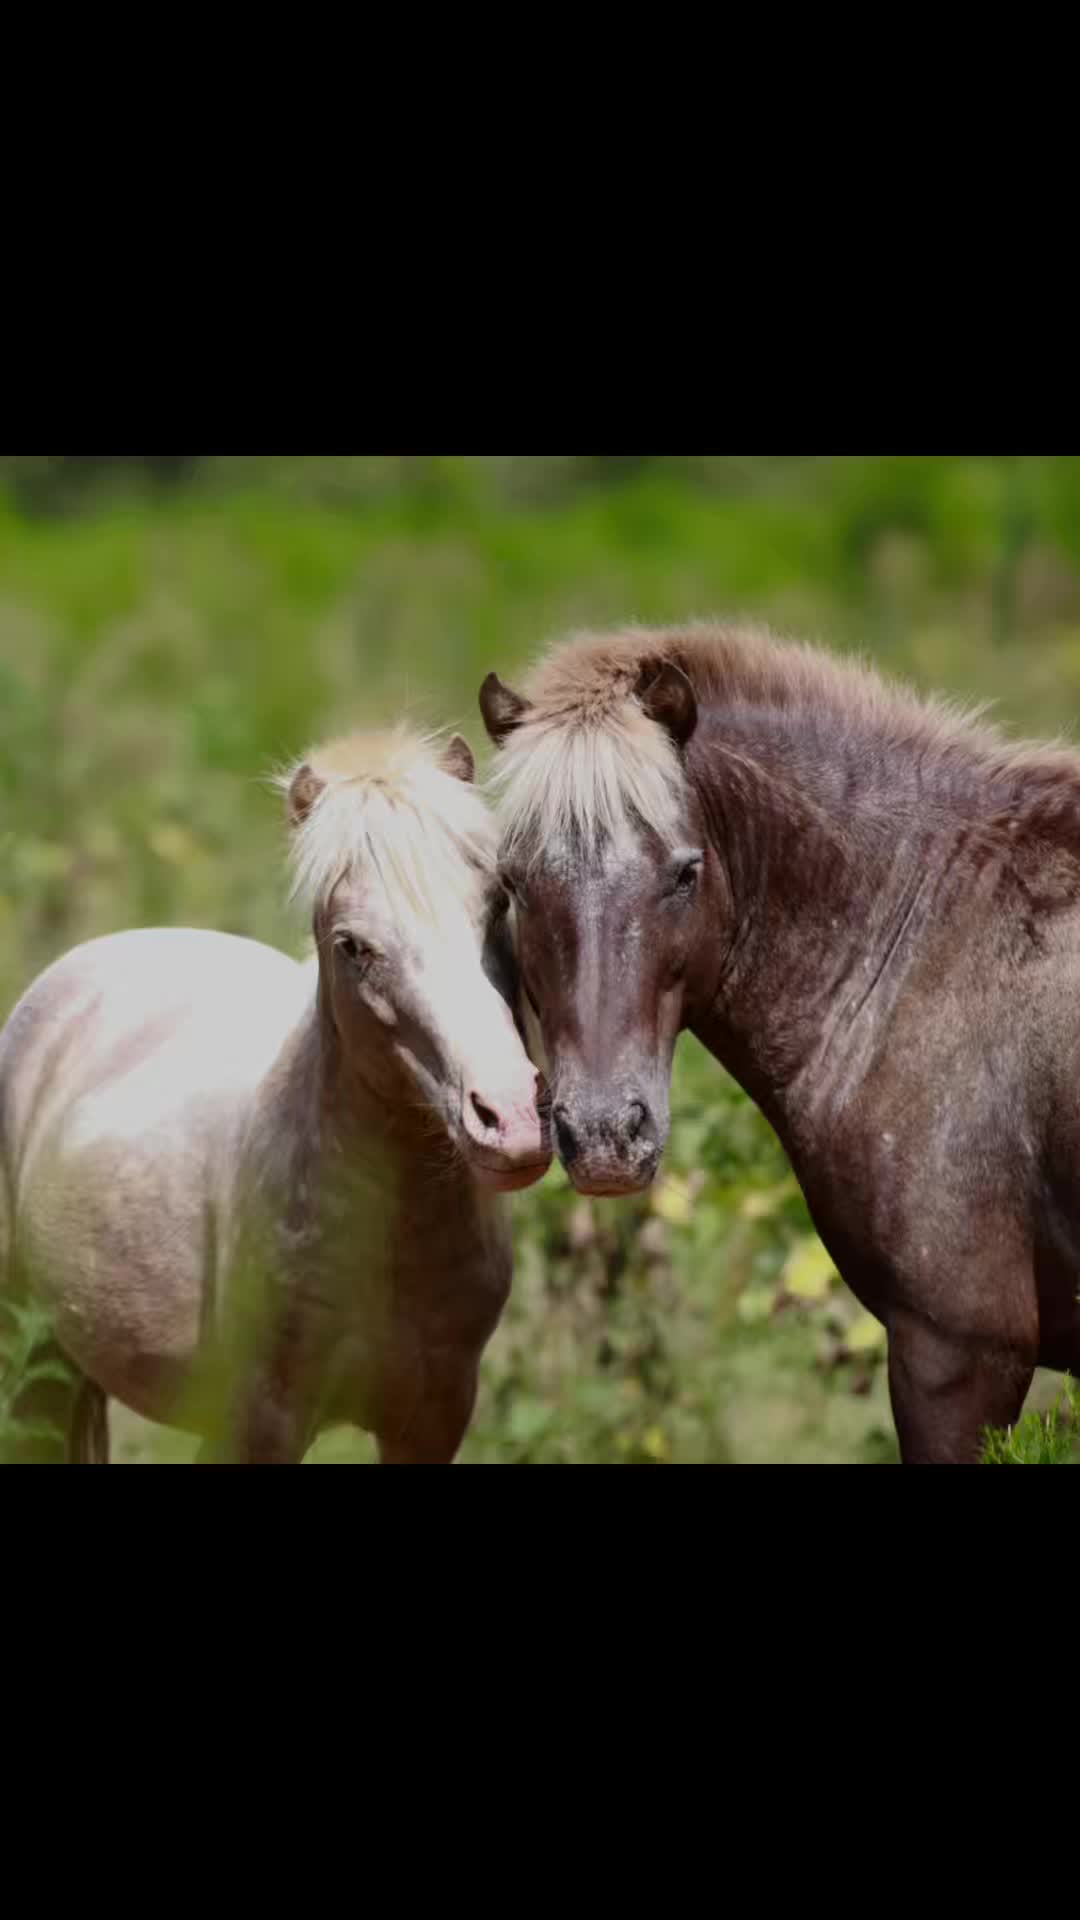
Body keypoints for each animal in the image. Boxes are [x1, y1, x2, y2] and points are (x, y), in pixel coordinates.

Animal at [0, 726, 551, 1463]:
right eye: (353, 946)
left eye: (496, 904)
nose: (510, 1117)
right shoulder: (264, 1418)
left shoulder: (434, 1417)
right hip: (34, 1359)